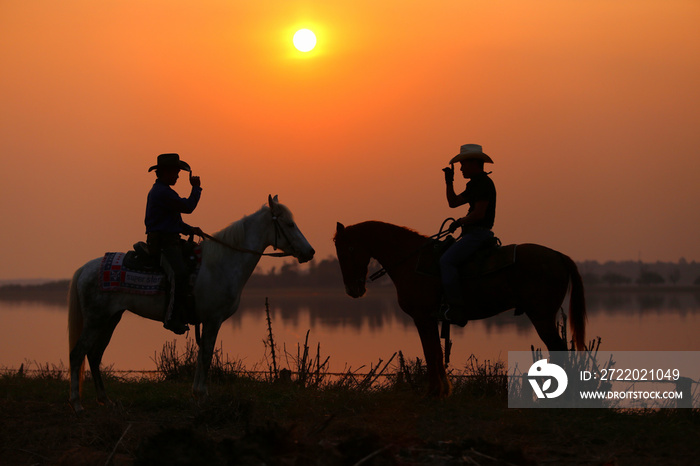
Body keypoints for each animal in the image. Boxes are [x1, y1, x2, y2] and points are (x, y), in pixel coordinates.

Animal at [68, 196, 314, 412]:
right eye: (290, 224)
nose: (310, 252)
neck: (221, 264)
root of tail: (84, 269)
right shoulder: (213, 320)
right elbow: (206, 355)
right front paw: (202, 395)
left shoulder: (206, 321)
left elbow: (202, 354)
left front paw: (197, 395)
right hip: (96, 319)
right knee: (78, 353)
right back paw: (77, 404)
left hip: (111, 318)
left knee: (94, 355)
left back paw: (106, 400)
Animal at [334, 222, 584, 396]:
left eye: (347, 250)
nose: (352, 289)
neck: (411, 261)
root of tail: (559, 256)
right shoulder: (430, 319)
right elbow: (435, 352)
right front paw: (443, 391)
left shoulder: (422, 318)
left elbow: (430, 352)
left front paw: (434, 392)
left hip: (542, 317)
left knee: (559, 350)